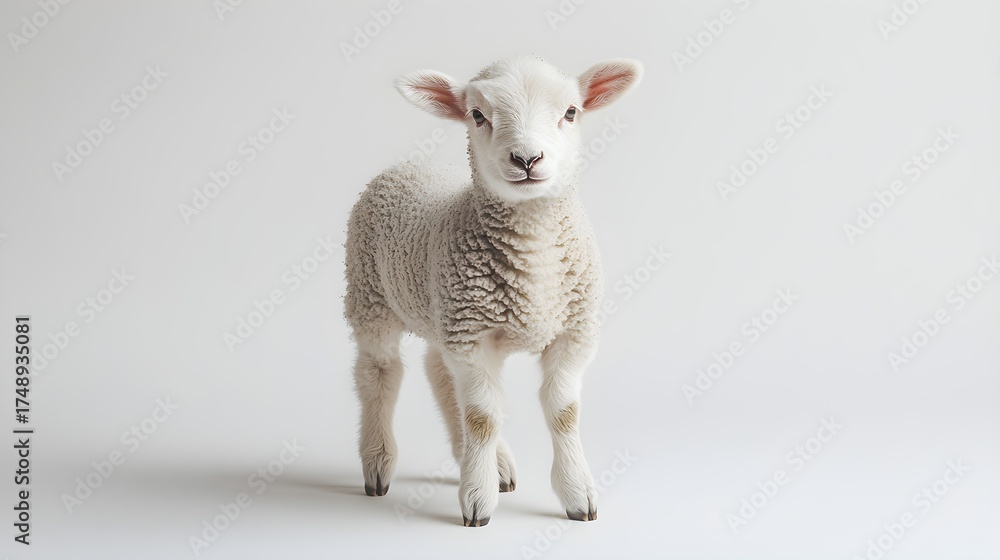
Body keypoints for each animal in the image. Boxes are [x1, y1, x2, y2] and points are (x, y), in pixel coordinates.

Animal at [344, 56, 642, 527]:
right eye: (477, 115)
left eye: (571, 112)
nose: (527, 158)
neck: (533, 266)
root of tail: (407, 166)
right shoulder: (473, 336)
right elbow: (483, 416)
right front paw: (478, 500)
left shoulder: (572, 331)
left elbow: (564, 414)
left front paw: (577, 492)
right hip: (370, 295)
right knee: (378, 372)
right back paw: (378, 462)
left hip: (442, 312)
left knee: (440, 373)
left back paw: (483, 460)